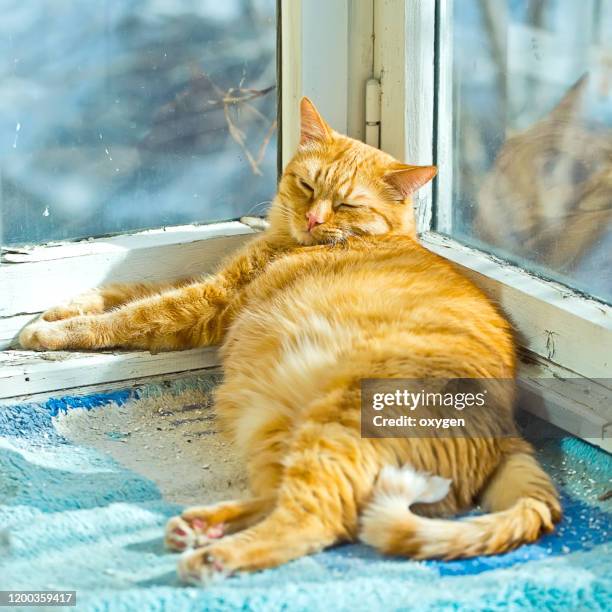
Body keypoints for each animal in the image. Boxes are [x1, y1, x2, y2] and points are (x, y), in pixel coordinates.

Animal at [19, 99, 560, 584]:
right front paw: (62, 307)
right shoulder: (210, 284)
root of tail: (507, 431)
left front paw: (46, 331)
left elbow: (130, 316)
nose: (314, 219)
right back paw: (203, 526)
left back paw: (213, 556)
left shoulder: (207, 302)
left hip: (333, 427)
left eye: (346, 204)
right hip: (272, 423)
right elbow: (127, 292)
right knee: (277, 500)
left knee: (314, 522)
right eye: (307, 185)